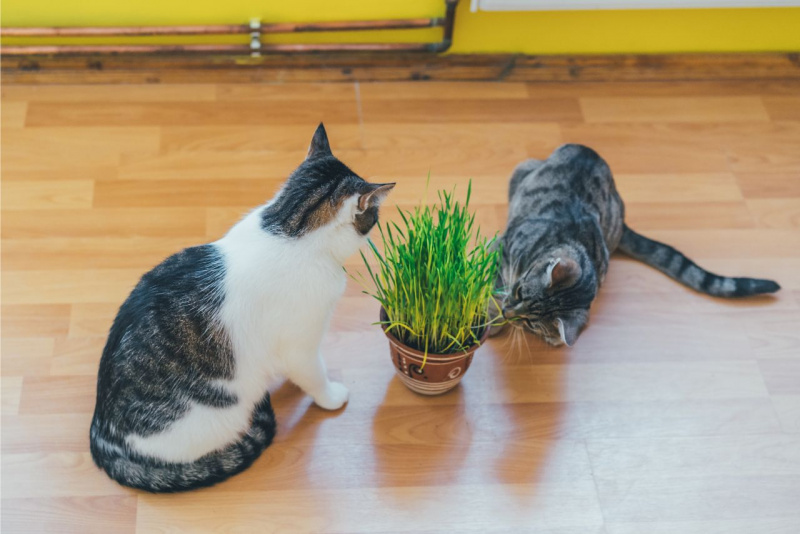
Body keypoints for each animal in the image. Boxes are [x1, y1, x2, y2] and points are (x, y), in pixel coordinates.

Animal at [90, 125, 394, 494]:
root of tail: (103, 433)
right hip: (220, 413)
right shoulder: (301, 345)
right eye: (373, 216)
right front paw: (331, 396)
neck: (289, 228)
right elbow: (314, 374)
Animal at [494, 146, 780, 348]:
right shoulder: (502, 245)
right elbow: (494, 280)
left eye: (529, 324)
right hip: (522, 169)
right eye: (519, 291)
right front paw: (493, 316)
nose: (508, 313)